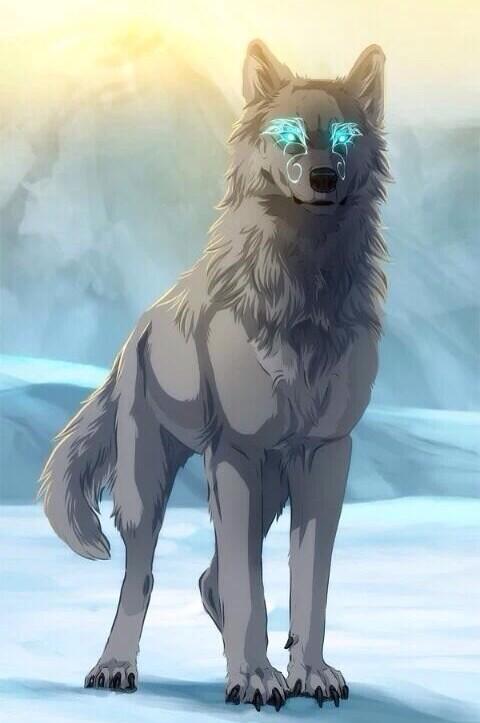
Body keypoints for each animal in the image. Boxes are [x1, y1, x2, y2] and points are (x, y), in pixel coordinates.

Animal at [39, 39, 389, 711]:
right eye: (289, 135)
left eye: (343, 135)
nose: (324, 177)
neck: (302, 299)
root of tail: (137, 331)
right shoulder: (236, 451)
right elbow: (250, 589)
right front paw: (253, 678)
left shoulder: (325, 455)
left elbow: (309, 585)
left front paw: (309, 673)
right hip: (150, 485)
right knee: (145, 575)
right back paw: (116, 666)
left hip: (270, 484)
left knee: (212, 577)